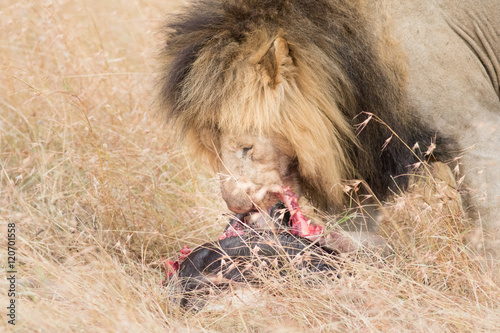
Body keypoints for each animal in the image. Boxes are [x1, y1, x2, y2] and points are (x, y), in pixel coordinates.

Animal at [158, 0, 500, 254]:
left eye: (247, 148)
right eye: (211, 150)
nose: (239, 206)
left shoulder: (478, 133)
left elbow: (487, 227)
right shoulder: (361, 170)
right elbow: (355, 232)